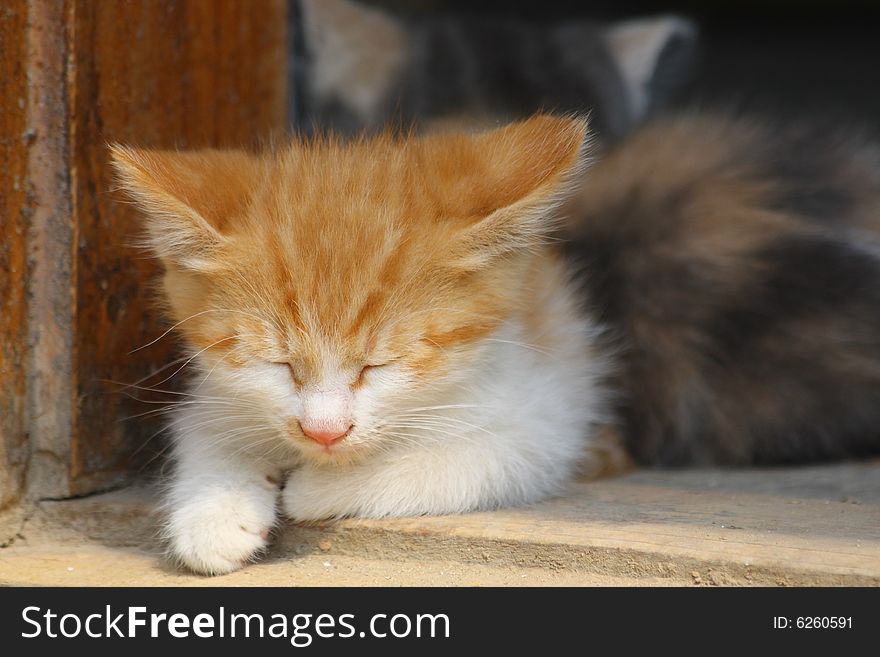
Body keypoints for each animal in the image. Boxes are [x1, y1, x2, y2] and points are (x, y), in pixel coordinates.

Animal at [110, 115, 608, 572]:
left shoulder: (540, 421)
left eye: (380, 365)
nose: (324, 432)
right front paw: (214, 511)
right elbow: (203, 432)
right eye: (278, 364)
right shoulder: (217, 392)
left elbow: (463, 459)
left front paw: (316, 488)